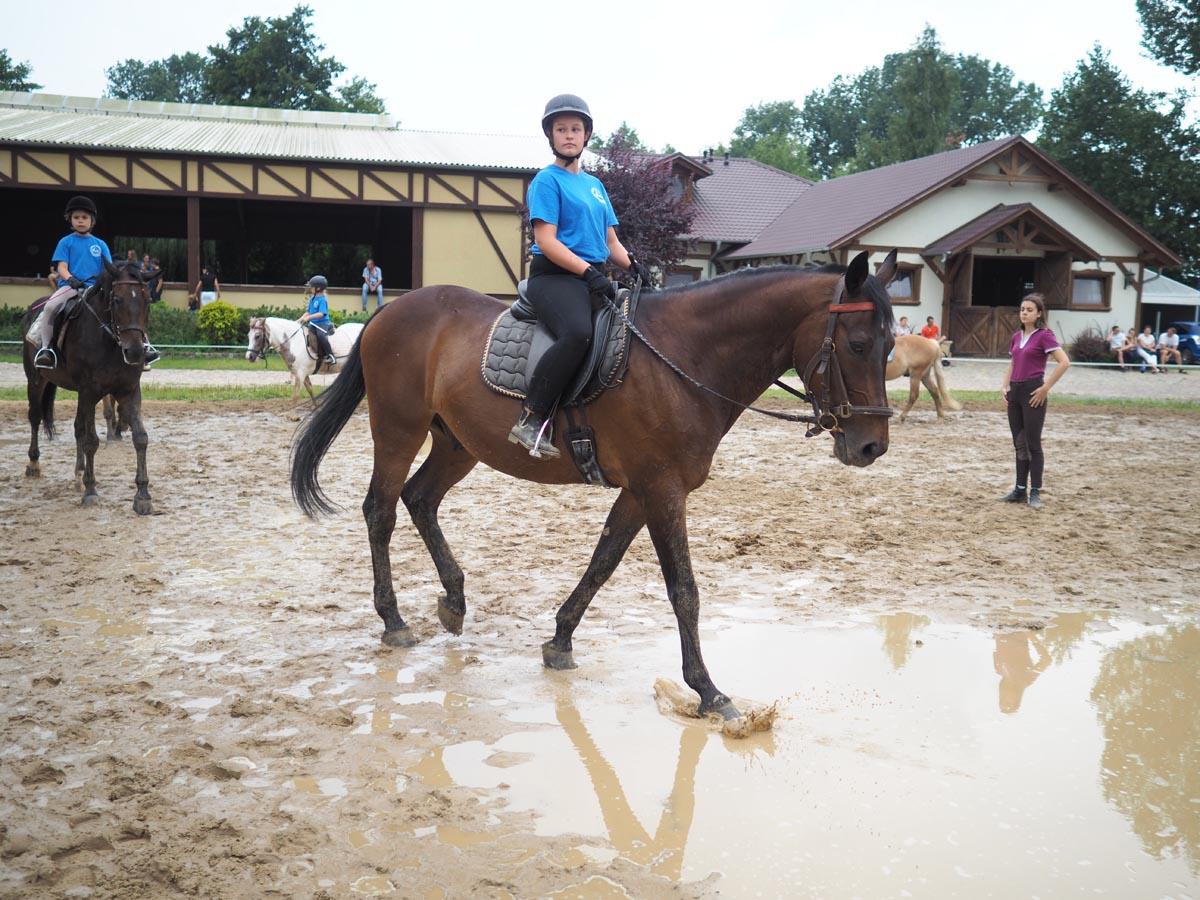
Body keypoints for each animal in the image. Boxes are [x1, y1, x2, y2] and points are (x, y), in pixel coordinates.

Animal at [22, 260, 154, 514]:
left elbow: (140, 438)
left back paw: (79, 472)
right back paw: (33, 463)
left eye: (147, 300)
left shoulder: (129, 390)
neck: (111, 342)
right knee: (35, 417)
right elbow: (92, 441)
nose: (135, 352)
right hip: (36, 380)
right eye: (117, 300)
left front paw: (142, 495)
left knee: (77, 428)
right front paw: (91, 491)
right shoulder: (90, 392)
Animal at [291, 251, 898, 720]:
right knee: (382, 510)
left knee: (420, 500)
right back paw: (393, 620)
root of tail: (391, 309)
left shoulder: (641, 490)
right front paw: (708, 690)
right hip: (399, 428)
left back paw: (454, 601)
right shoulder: (662, 489)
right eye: (858, 343)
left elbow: (603, 560)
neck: (685, 357)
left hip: (457, 443)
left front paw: (560, 641)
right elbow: (684, 591)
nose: (871, 446)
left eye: (891, 346)